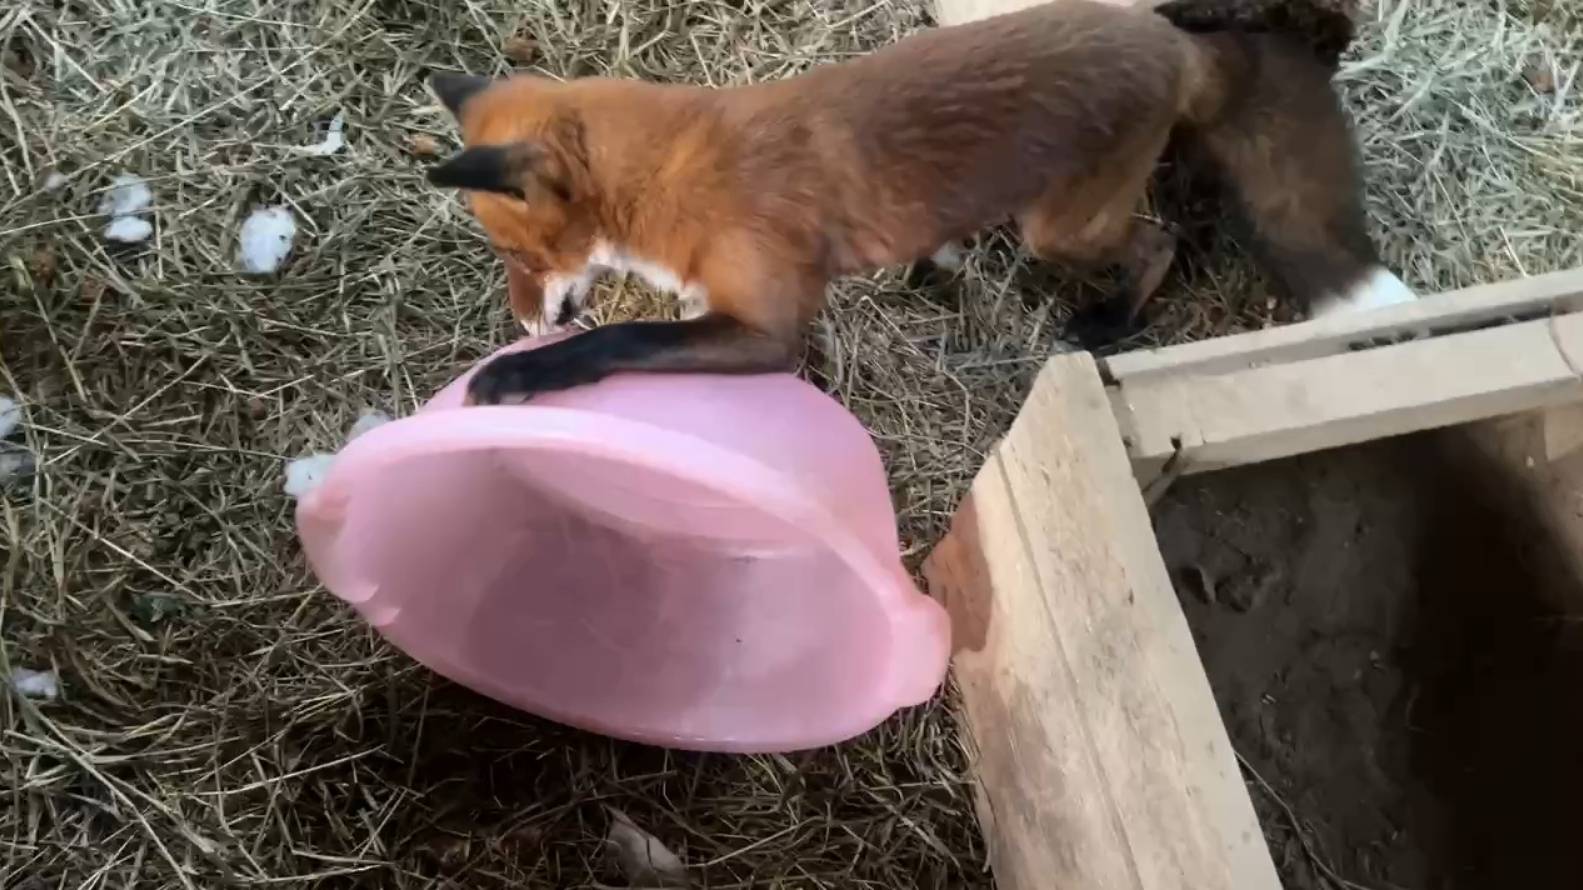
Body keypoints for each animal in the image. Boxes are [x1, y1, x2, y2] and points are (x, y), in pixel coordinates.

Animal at [426, 0, 1414, 406]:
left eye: (515, 256)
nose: (520, 325)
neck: (677, 172)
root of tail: (1172, 36)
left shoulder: (766, 330)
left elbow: (621, 338)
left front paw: (521, 376)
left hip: (1059, 231)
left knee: (1162, 239)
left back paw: (1111, 322)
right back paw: (933, 259)